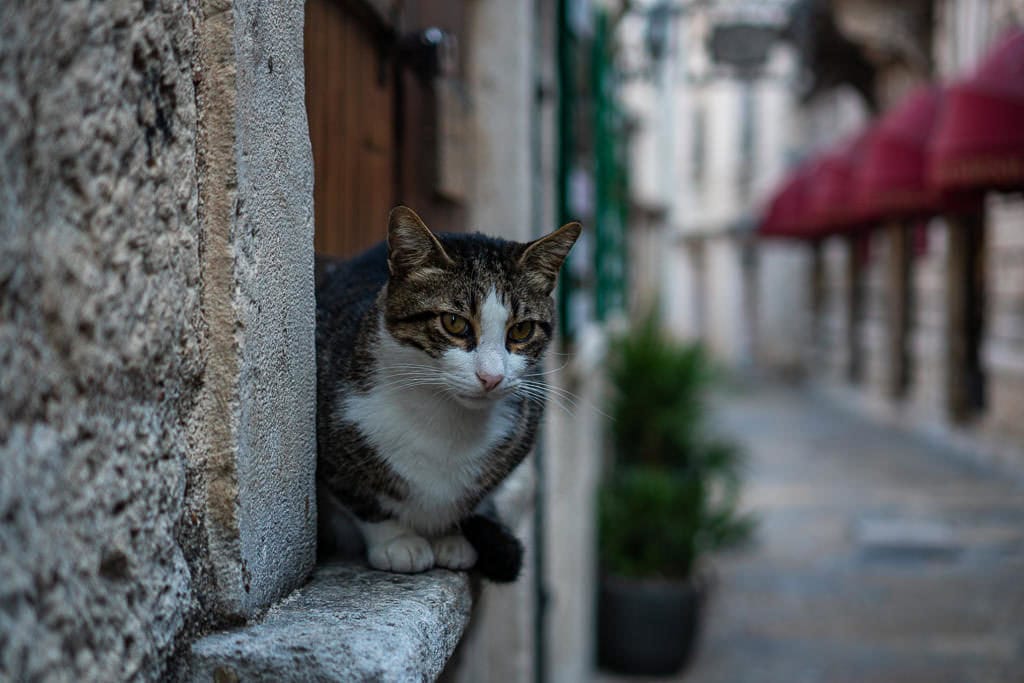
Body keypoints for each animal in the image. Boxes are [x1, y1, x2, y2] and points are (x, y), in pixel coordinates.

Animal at [315, 204, 581, 581]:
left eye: (522, 330)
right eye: (454, 323)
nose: (491, 377)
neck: (444, 419)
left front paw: (448, 537)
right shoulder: (332, 447)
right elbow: (360, 498)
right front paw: (397, 541)